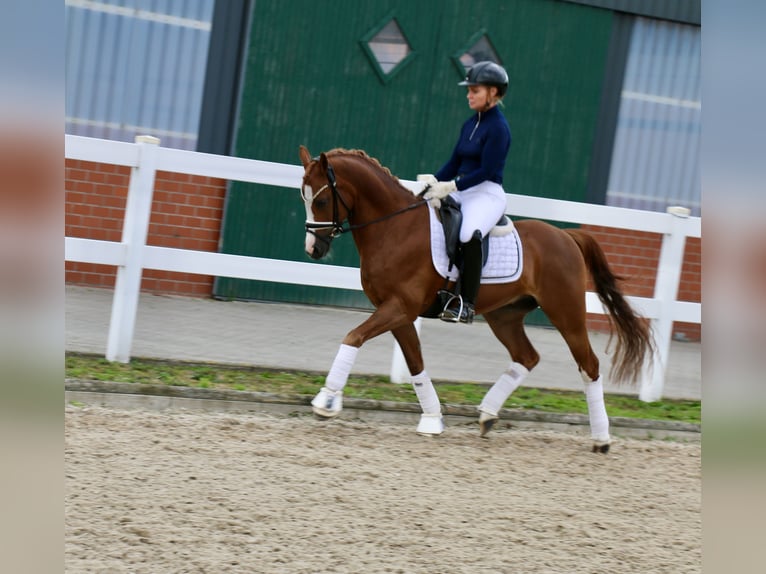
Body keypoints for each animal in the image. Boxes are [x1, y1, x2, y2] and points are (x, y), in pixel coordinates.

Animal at [298, 145, 656, 454]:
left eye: (322, 199)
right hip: (505, 316)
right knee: (526, 357)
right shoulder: (396, 311)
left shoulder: (399, 307)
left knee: (589, 366)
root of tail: (567, 236)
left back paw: (601, 439)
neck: (394, 227)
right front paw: (432, 420)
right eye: (304, 196)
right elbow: (415, 362)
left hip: (566, 314)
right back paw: (487, 414)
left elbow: (353, 337)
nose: (313, 249)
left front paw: (326, 401)